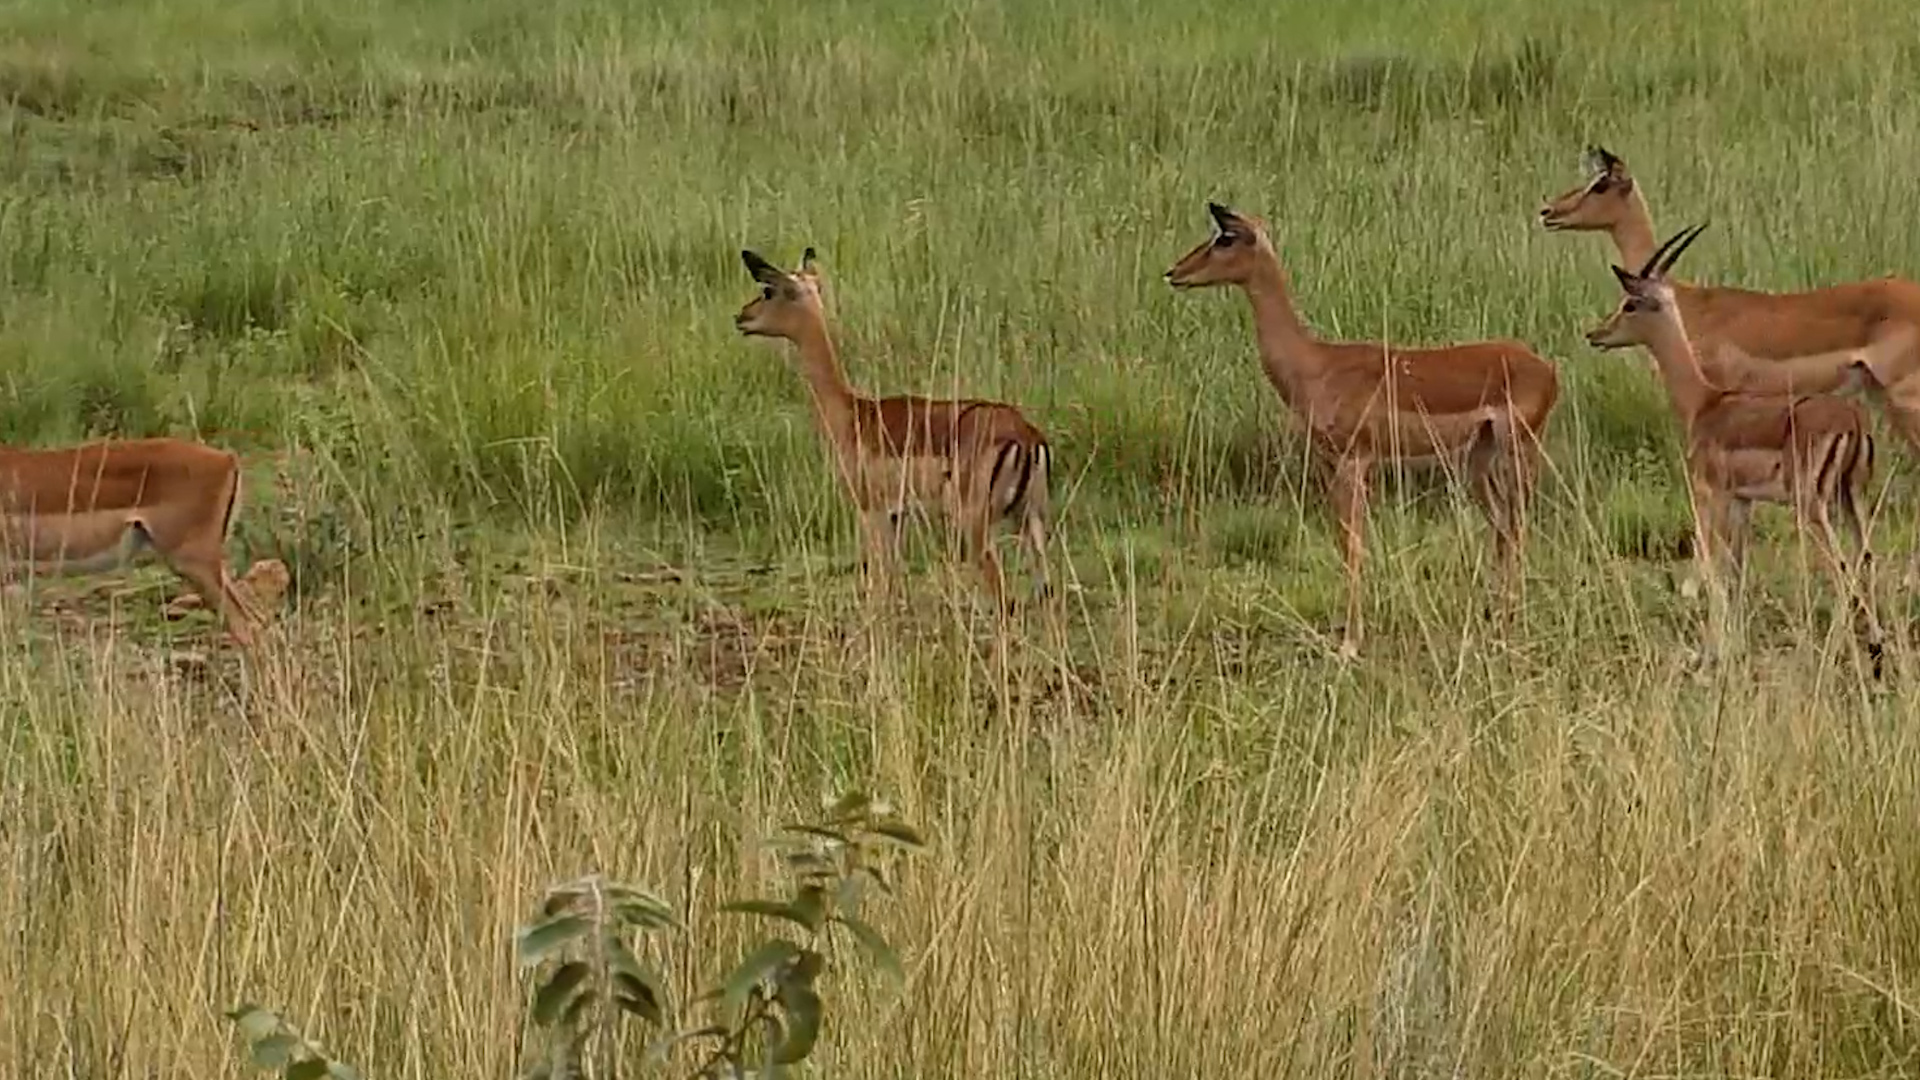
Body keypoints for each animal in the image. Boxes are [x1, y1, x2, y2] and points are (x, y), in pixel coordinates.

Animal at [733, 247, 1052, 610]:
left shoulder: (873, 512)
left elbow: (878, 585)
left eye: (768, 290)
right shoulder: (899, 517)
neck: (853, 415)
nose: (741, 317)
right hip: (1032, 520)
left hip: (977, 525)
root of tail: (1026, 435)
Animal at [1165, 202, 1560, 659]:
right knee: (1501, 525)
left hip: (1519, 449)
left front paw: (1350, 645)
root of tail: (1548, 368)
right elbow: (1344, 541)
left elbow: (1354, 544)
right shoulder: (1333, 463)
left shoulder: (1355, 461)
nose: (1174, 272)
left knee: (1517, 524)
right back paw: (1495, 619)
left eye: (1226, 237)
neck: (1315, 364)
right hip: (1478, 458)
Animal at [1585, 223, 1886, 667]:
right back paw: (1877, 644)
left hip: (1812, 506)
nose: (1596, 334)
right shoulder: (1745, 501)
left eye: (1630, 303)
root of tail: (1852, 419)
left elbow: (1715, 565)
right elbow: (1738, 570)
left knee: (1840, 562)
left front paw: (1713, 650)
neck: (1703, 402)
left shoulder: (1713, 494)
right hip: (1853, 496)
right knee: (1866, 555)